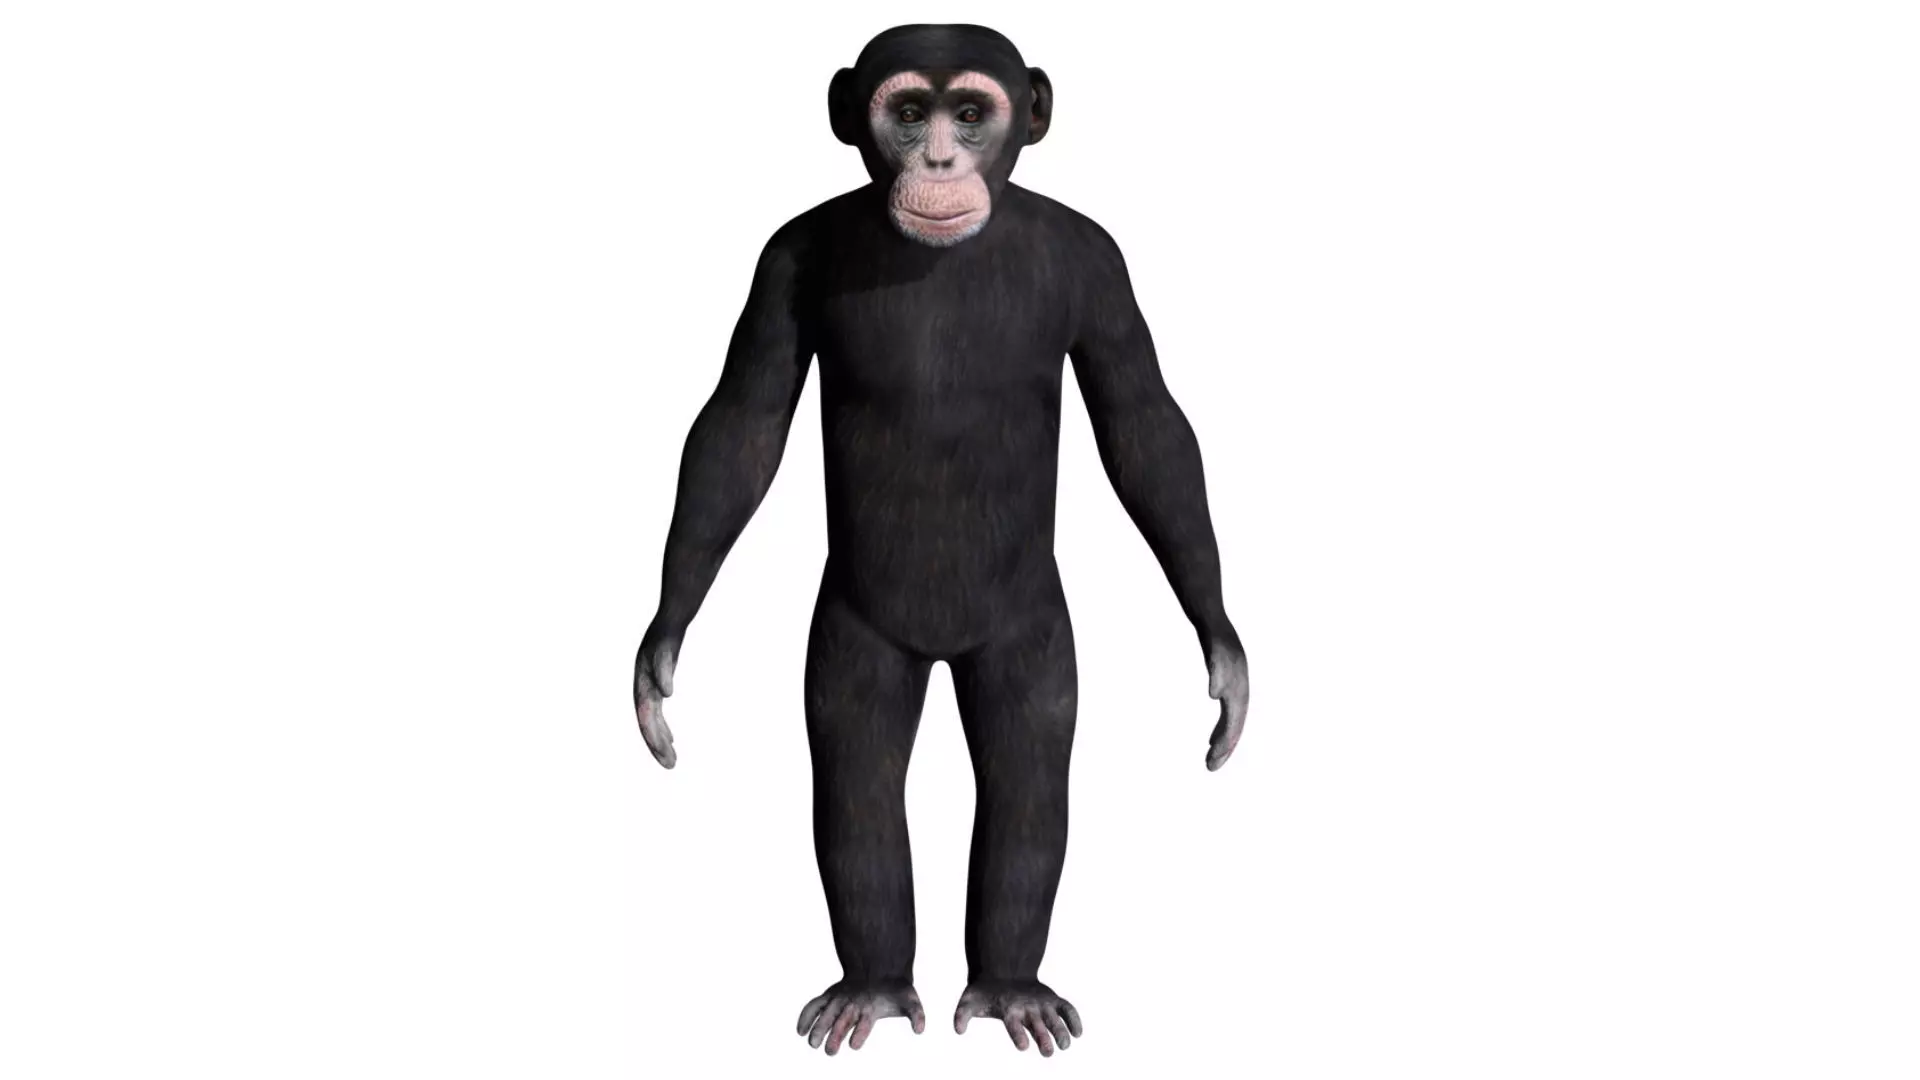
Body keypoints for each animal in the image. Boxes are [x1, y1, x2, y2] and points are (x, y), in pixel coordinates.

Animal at [631, 24, 1249, 1056]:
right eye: (909, 110)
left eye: (970, 111)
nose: (941, 161)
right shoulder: (780, 261)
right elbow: (741, 426)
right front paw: (660, 650)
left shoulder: (1103, 264)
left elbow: (1145, 427)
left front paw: (1225, 657)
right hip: (858, 633)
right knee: (858, 766)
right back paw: (873, 986)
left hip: (1028, 632)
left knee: (1028, 766)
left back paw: (1010, 987)